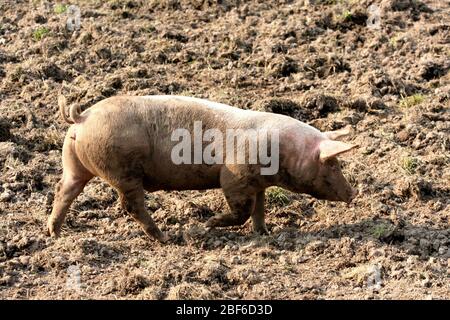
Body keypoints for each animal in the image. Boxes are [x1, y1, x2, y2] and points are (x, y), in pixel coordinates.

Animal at [48, 95, 358, 242]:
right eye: (332, 163)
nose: (353, 193)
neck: (283, 154)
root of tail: (82, 117)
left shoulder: (257, 183)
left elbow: (259, 208)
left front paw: (264, 233)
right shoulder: (234, 177)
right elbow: (242, 211)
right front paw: (207, 225)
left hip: (74, 163)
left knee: (64, 189)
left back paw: (54, 233)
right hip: (123, 171)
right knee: (131, 205)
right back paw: (166, 238)